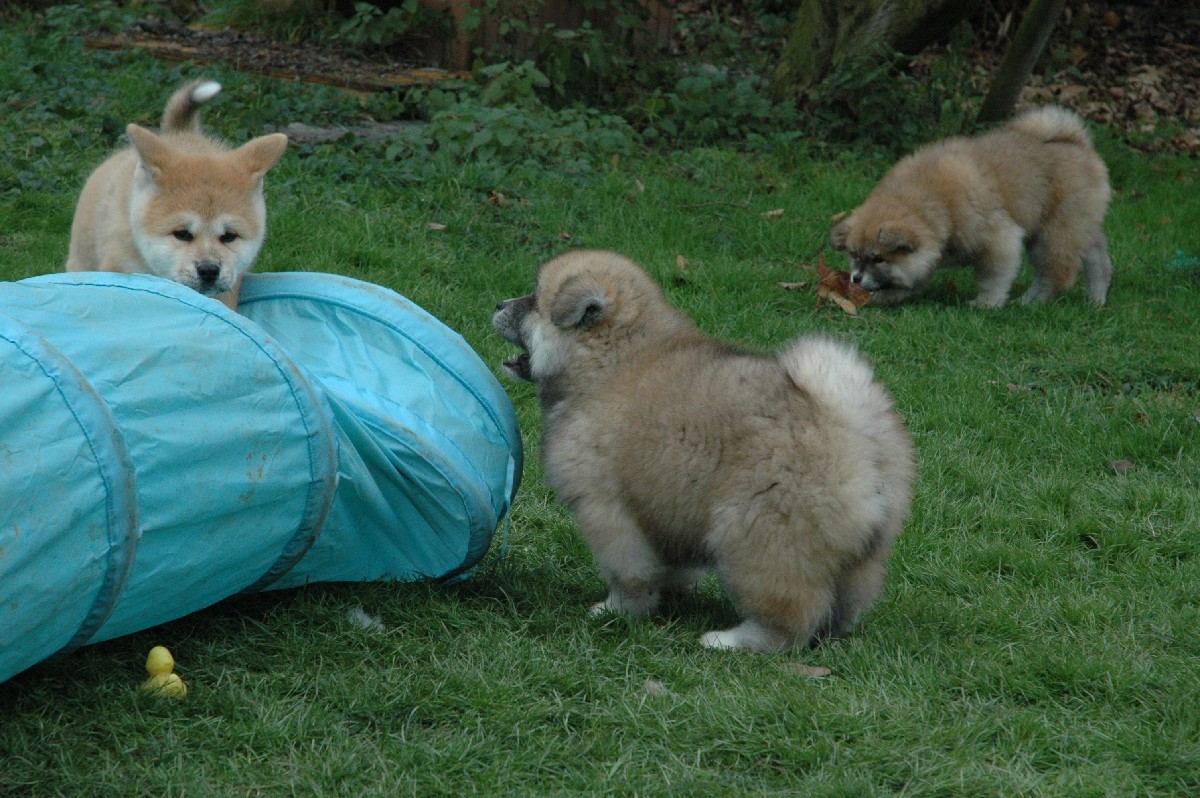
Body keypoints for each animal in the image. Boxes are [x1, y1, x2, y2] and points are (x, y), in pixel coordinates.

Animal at [494, 250, 915, 652]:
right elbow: (668, 567)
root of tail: (853, 430)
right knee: (841, 605)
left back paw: (732, 641)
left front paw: (616, 610)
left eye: (533, 301)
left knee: (789, 621)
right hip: (860, 558)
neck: (608, 361)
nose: (498, 303)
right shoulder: (662, 517)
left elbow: (628, 575)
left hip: (756, 536)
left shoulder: (608, 511)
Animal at [830, 106, 1112, 307]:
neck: (938, 205)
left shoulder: (998, 239)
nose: (855, 278)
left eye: (878, 258)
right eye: (854, 254)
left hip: (1052, 234)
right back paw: (1096, 300)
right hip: (1078, 226)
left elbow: (993, 277)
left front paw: (986, 303)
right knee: (1098, 258)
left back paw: (1030, 302)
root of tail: (1076, 142)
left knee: (1054, 275)